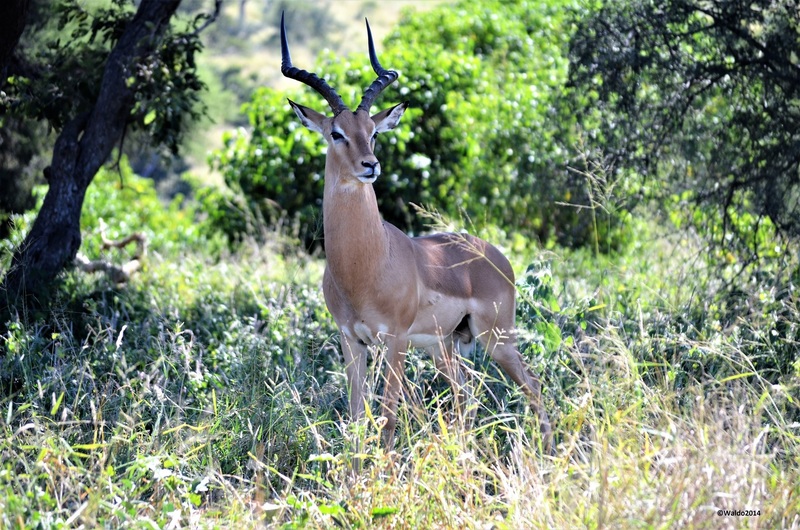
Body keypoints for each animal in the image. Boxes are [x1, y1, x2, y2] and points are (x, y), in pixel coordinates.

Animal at [280, 13, 552, 452]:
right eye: (337, 133)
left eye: (373, 131)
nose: (370, 165)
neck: (363, 266)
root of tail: (494, 254)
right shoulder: (351, 341)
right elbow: (357, 421)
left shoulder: (395, 340)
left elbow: (388, 421)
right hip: (446, 346)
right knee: (464, 400)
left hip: (496, 339)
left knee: (533, 386)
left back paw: (549, 453)